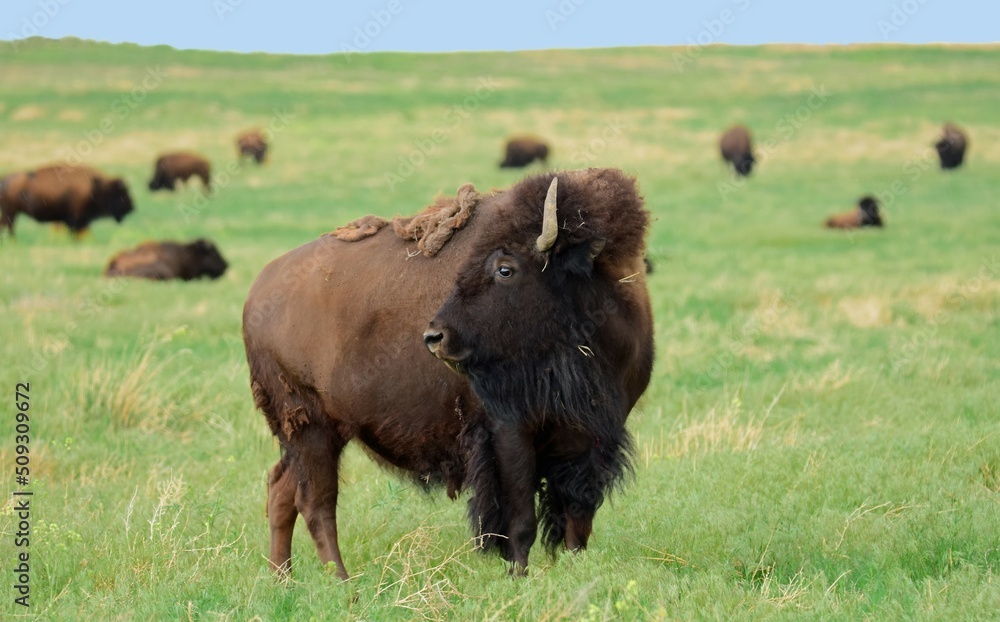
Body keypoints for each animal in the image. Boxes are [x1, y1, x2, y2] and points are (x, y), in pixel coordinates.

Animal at [0, 165, 135, 240]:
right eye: (120, 193)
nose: (132, 207)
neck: (95, 187)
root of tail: (4, 180)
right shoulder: (76, 219)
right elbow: (75, 232)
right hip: (10, 213)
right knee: (9, 227)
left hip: (11, 213)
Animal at [244, 168, 656, 584]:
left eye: (505, 269)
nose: (435, 337)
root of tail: (259, 291)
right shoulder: (509, 431)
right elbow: (520, 517)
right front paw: (517, 577)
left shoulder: (594, 437)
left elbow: (578, 519)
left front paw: (572, 571)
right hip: (312, 428)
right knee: (316, 502)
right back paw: (344, 584)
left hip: (311, 435)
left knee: (282, 491)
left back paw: (283, 580)